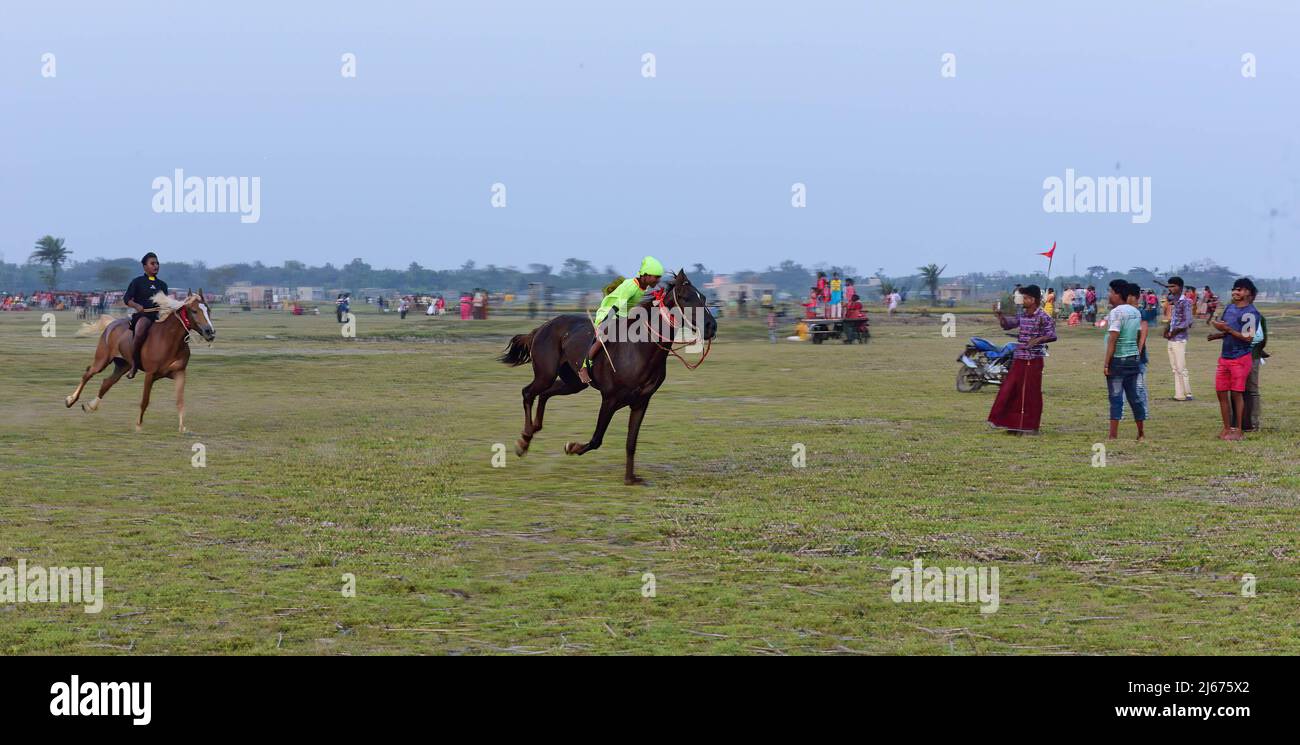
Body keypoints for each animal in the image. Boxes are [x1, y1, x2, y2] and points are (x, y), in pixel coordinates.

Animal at [65, 288, 215, 429]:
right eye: (194, 310)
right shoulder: (150, 374)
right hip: (102, 360)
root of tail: (112, 324)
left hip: (123, 365)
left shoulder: (179, 373)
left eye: (208, 309)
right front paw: (138, 424)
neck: (169, 340)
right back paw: (70, 400)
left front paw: (182, 427)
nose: (210, 332)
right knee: (88, 374)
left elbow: (180, 401)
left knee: (106, 382)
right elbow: (145, 400)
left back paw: (90, 406)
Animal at [499, 270, 722, 486]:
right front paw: (573, 447)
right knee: (528, 392)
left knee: (545, 394)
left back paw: (534, 429)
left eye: (703, 297)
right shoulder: (610, 399)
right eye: (685, 297)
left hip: (574, 383)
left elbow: (631, 442)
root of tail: (541, 328)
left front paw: (630, 478)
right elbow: (597, 439)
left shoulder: (641, 402)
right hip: (546, 374)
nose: (711, 326)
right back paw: (524, 440)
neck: (641, 349)